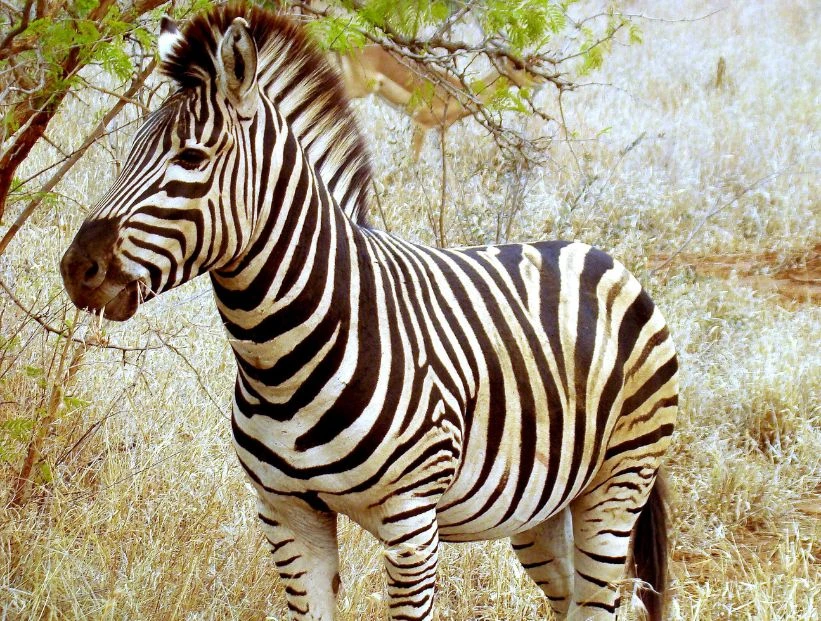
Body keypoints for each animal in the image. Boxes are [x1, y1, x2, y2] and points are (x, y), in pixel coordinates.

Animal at [60, 6, 678, 620]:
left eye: (191, 157)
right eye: (131, 150)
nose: (75, 269)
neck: (281, 358)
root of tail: (603, 257)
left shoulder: (412, 527)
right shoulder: (287, 515)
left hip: (618, 482)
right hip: (543, 508)